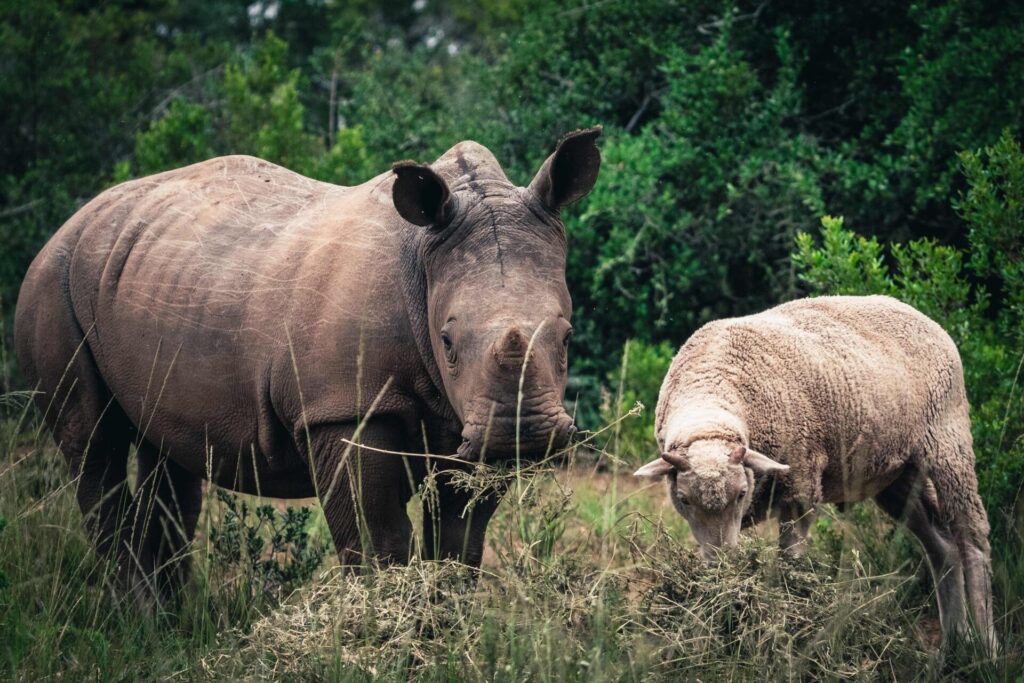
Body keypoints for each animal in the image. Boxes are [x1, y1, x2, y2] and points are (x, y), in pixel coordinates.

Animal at [14, 128, 601, 599]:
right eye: (447, 342)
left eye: (569, 337)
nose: (521, 432)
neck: (422, 258)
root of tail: (68, 223)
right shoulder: (343, 406)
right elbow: (378, 540)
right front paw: (384, 631)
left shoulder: (467, 419)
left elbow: (460, 543)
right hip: (53, 285)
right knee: (95, 447)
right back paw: (143, 621)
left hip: (148, 275)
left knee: (168, 457)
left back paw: (169, 621)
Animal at [635, 295, 995, 652]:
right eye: (683, 500)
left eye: (741, 494)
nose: (722, 565)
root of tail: (920, 315)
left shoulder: (801, 485)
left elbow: (789, 561)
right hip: (895, 474)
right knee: (942, 547)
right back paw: (953, 641)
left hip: (948, 443)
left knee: (972, 536)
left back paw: (986, 644)